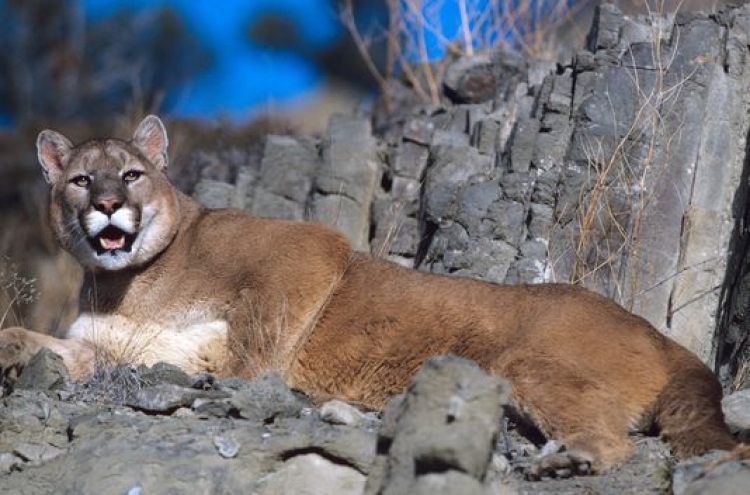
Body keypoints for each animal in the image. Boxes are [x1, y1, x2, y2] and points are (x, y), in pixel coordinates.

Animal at [0, 114, 740, 474]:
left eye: (130, 173)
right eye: (79, 180)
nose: (106, 205)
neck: (129, 284)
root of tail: (663, 338)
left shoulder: (304, 249)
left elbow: (256, 341)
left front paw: (240, 378)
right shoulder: (104, 347)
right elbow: (53, 346)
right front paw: (14, 353)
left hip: (526, 363)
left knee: (615, 441)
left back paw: (569, 459)